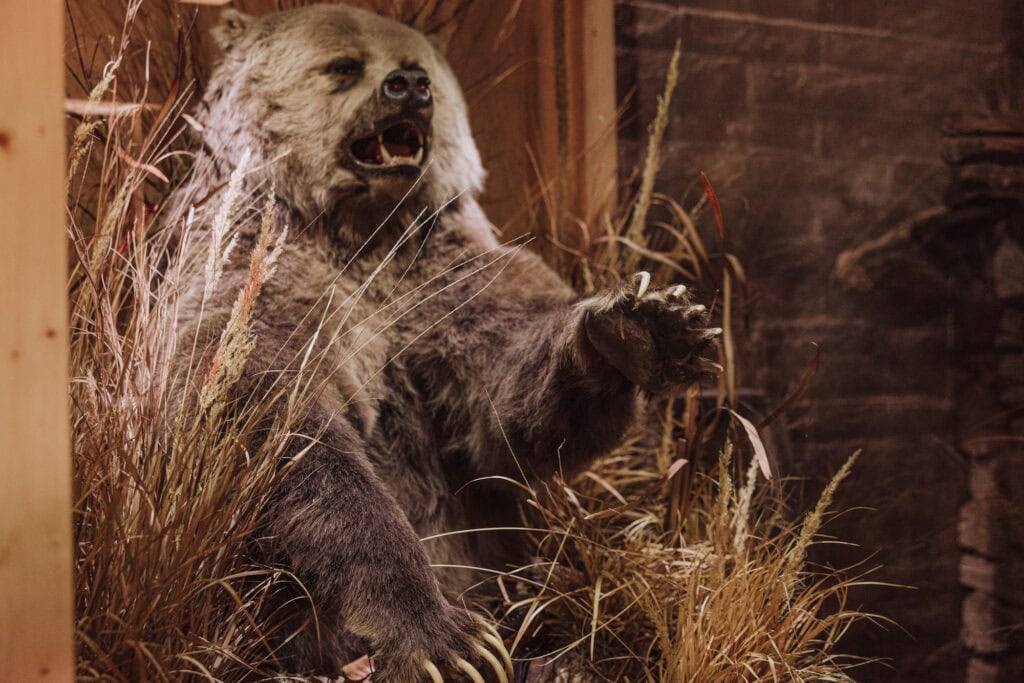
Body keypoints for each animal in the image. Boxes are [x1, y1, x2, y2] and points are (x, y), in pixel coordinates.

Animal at [167, 4, 720, 681]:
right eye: (343, 66)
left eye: (418, 64)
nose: (409, 86)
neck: (362, 235)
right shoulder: (259, 279)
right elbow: (273, 426)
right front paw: (448, 642)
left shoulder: (448, 285)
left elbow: (509, 416)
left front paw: (640, 329)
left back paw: (556, 660)